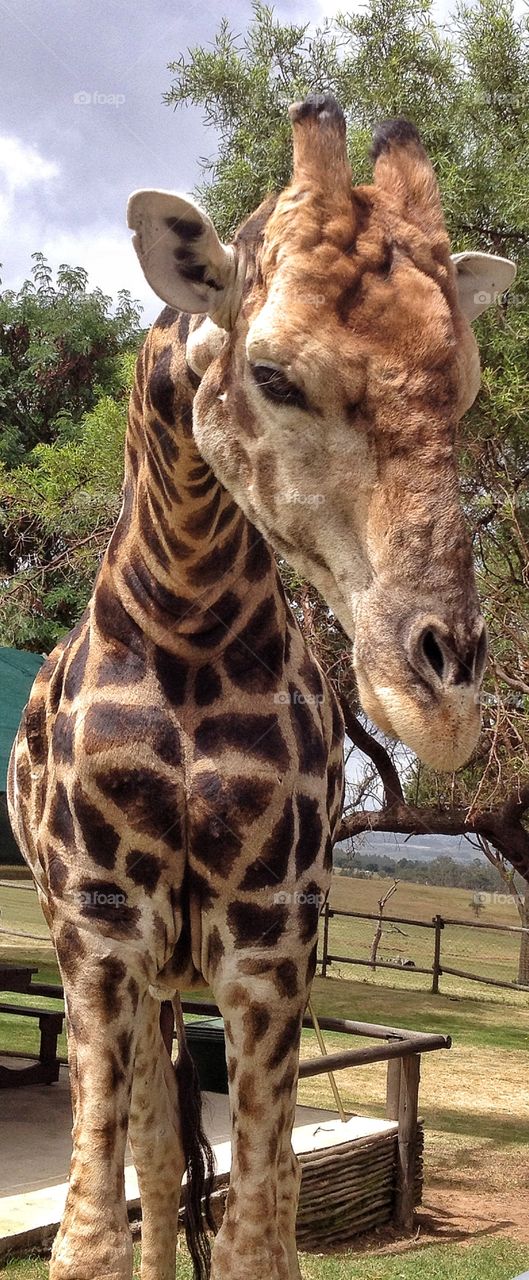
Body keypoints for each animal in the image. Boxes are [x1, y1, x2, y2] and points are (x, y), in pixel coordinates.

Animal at [7, 95, 515, 1280]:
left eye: (466, 390)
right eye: (275, 375)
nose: (443, 696)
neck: (187, 630)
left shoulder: (271, 933)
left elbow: (261, 1225)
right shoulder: (98, 929)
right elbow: (91, 1230)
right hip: (140, 971)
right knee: (151, 1158)